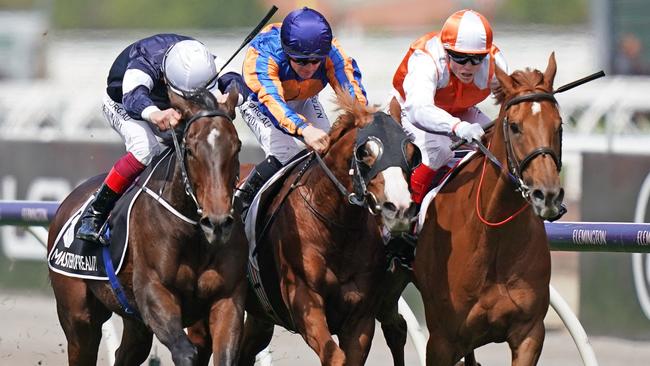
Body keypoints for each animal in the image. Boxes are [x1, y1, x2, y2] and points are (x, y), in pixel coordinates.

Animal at [46, 89, 247, 366]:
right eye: (190, 150)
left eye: (237, 147)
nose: (217, 223)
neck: (193, 233)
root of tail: (68, 201)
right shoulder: (155, 292)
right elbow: (186, 353)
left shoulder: (227, 298)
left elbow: (226, 354)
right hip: (78, 317)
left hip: (134, 322)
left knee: (126, 352)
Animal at [416, 53, 560, 364]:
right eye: (515, 126)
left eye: (559, 125)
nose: (548, 195)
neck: (493, 235)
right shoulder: (442, 341)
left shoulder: (529, 332)